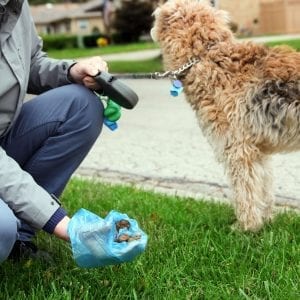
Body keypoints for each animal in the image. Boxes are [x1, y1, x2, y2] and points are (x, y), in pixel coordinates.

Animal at [152, 0, 300, 232]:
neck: (206, 57)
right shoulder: (258, 150)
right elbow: (264, 187)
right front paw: (265, 220)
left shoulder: (238, 148)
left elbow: (245, 190)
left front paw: (245, 227)